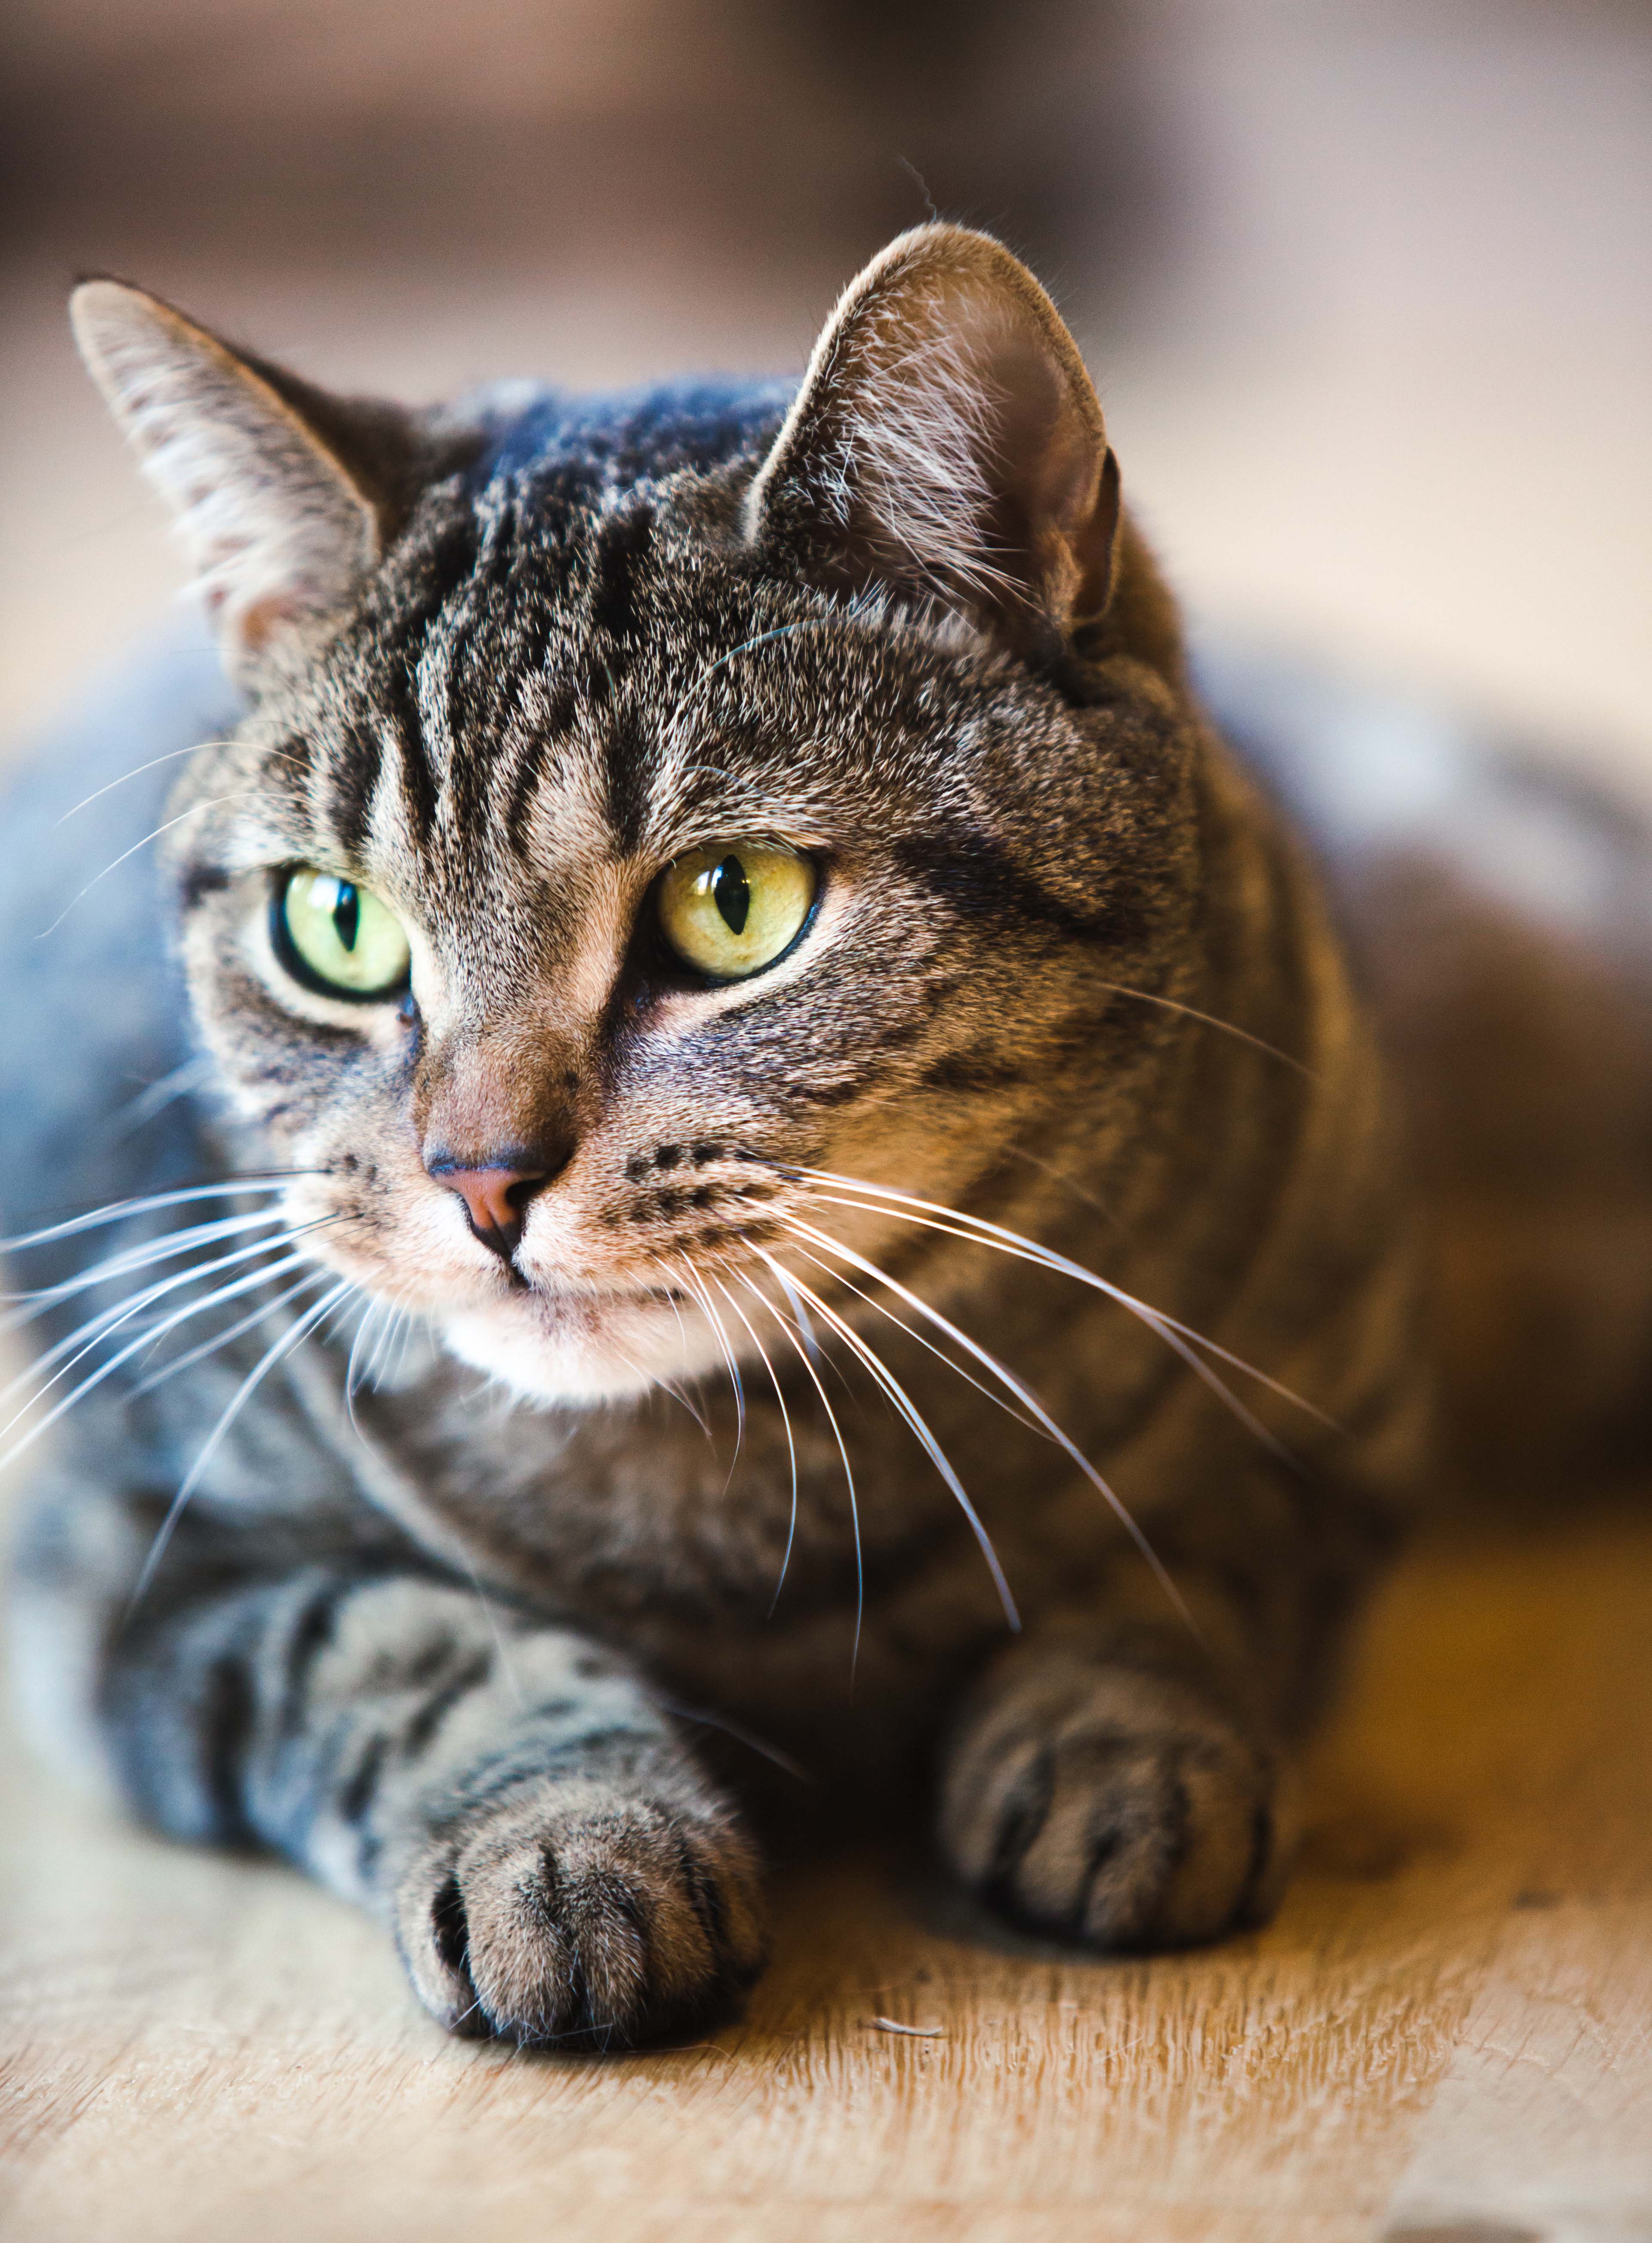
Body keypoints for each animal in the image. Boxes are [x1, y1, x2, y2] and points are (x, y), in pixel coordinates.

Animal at [3, 228, 1470, 2055]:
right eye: (335, 925)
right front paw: (571, 1837)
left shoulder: (1340, 1427)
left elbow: (1192, 1568)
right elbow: (401, 1642)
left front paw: (1128, 1747)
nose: (480, 1177)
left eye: (734, 905)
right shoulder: (121, 1557)